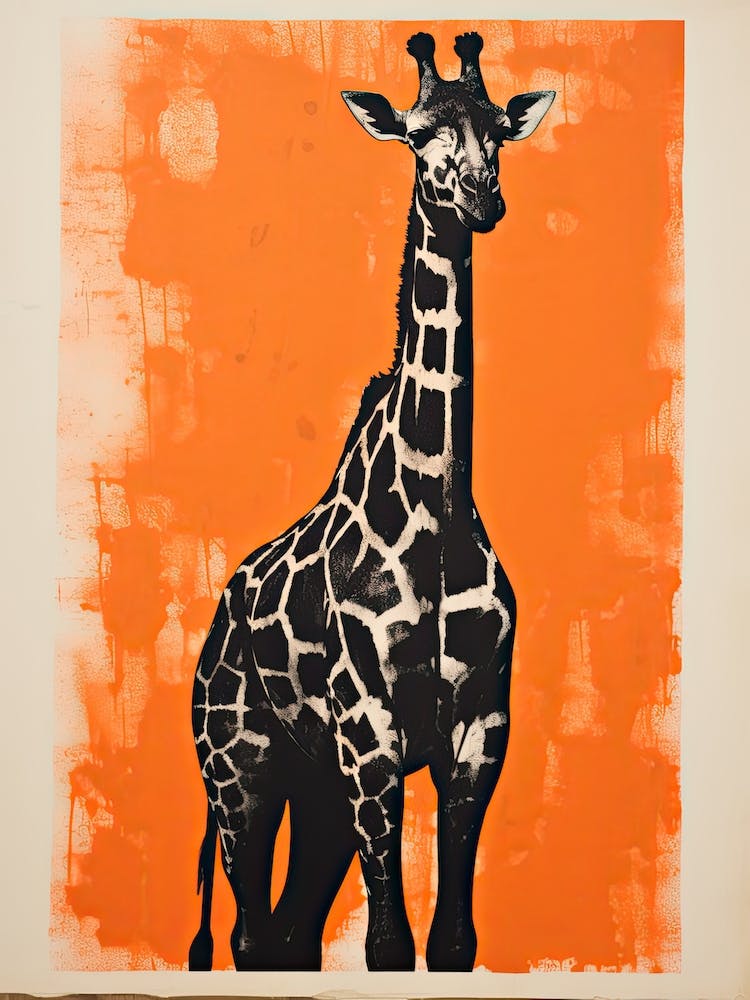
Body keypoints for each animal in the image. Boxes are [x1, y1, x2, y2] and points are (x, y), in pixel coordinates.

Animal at [189, 31, 554, 973]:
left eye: (499, 130)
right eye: (420, 134)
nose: (482, 199)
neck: (437, 514)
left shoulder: (479, 731)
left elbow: (453, 942)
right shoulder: (370, 728)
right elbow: (388, 947)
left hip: (314, 790)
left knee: (290, 934)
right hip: (240, 768)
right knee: (249, 932)